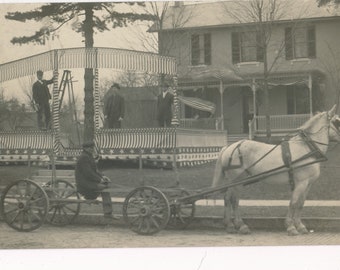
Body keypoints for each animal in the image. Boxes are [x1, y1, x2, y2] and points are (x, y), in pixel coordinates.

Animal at [212, 104, 340, 235]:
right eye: (337, 121)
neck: (307, 148)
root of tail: (229, 147)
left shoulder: (308, 184)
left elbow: (300, 204)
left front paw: (300, 226)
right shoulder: (301, 183)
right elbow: (294, 202)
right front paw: (291, 226)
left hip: (233, 182)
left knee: (227, 198)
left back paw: (229, 225)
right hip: (237, 181)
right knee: (234, 200)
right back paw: (241, 225)